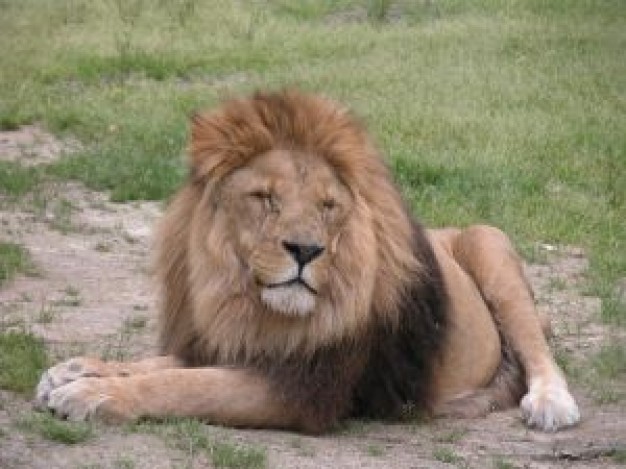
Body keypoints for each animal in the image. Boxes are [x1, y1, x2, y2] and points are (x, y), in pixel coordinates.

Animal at [34, 90, 580, 432]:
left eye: (327, 206)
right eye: (265, 198)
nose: (305, 251)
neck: (244, 299)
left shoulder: (305, 386)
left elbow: (184, 385)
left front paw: (93, 395)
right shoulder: (236, 343)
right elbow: (166, 364)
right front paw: (79, 371)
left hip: (491, 244)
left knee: (539, 351)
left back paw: (551, 404)